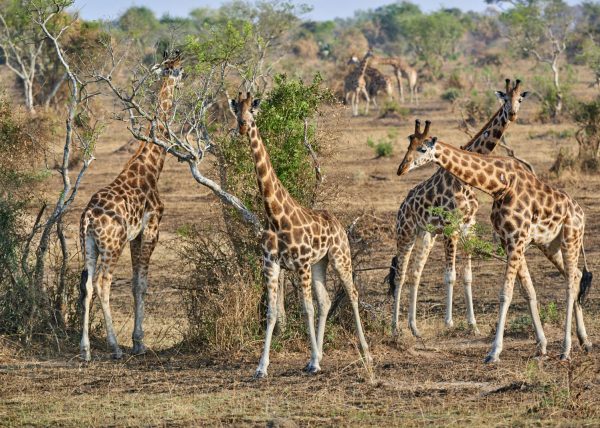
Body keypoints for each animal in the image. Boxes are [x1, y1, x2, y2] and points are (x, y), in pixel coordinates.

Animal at [79, 50, 183, 362]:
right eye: (178, 71)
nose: (183, 79)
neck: (150, 168)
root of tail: (88, 218)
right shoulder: (151, 230)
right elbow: (141, 284)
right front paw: (139, 342)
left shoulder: (136, 236)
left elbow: (138, 283)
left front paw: (138, 341)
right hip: (112, 245)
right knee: (102, 283)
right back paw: (114, 347)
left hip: (88, 244)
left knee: (86, 284)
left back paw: (85, 349)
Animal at [230, 91, 370, 378]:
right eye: (236, 111)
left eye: (253, 112)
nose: (242, 127)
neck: (275, 217)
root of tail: (339, 224)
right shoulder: (271, 265)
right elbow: (272, 313)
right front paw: (262, 367)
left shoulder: (301, 264)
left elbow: (306, 309)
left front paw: (315, 361)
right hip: (320, 263)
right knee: (326, 301)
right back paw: (319, 355)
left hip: (339, 257)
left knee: (351, 293)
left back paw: (365, 353)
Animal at [386, 79, 528, 338]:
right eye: (504, 99)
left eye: (519, 99)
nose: (512, 114)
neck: (464, 181)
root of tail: (402, 207)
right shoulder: (450, 227)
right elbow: (450, 275)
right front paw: (449, 322)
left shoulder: (468, 226)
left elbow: (467, 276)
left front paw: (473, 325)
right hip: (405, 233)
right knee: (400, 275)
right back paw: (395, 328)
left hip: (426, 235)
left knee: (415, 274)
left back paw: (414, 328)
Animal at [396, 125, 592, 362]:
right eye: (409, 146)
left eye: (423, 148)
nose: (401, 168)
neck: (500, 185)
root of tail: (581, 213)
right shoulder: (510, 241)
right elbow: (528, 291)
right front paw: (541, 345)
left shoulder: (516, 239)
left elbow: (505, 294)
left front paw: (494, 351)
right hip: (550, 246)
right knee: (577, 275)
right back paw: (585, 341)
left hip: (571, 238)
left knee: (570, 285)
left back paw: (566, 350)